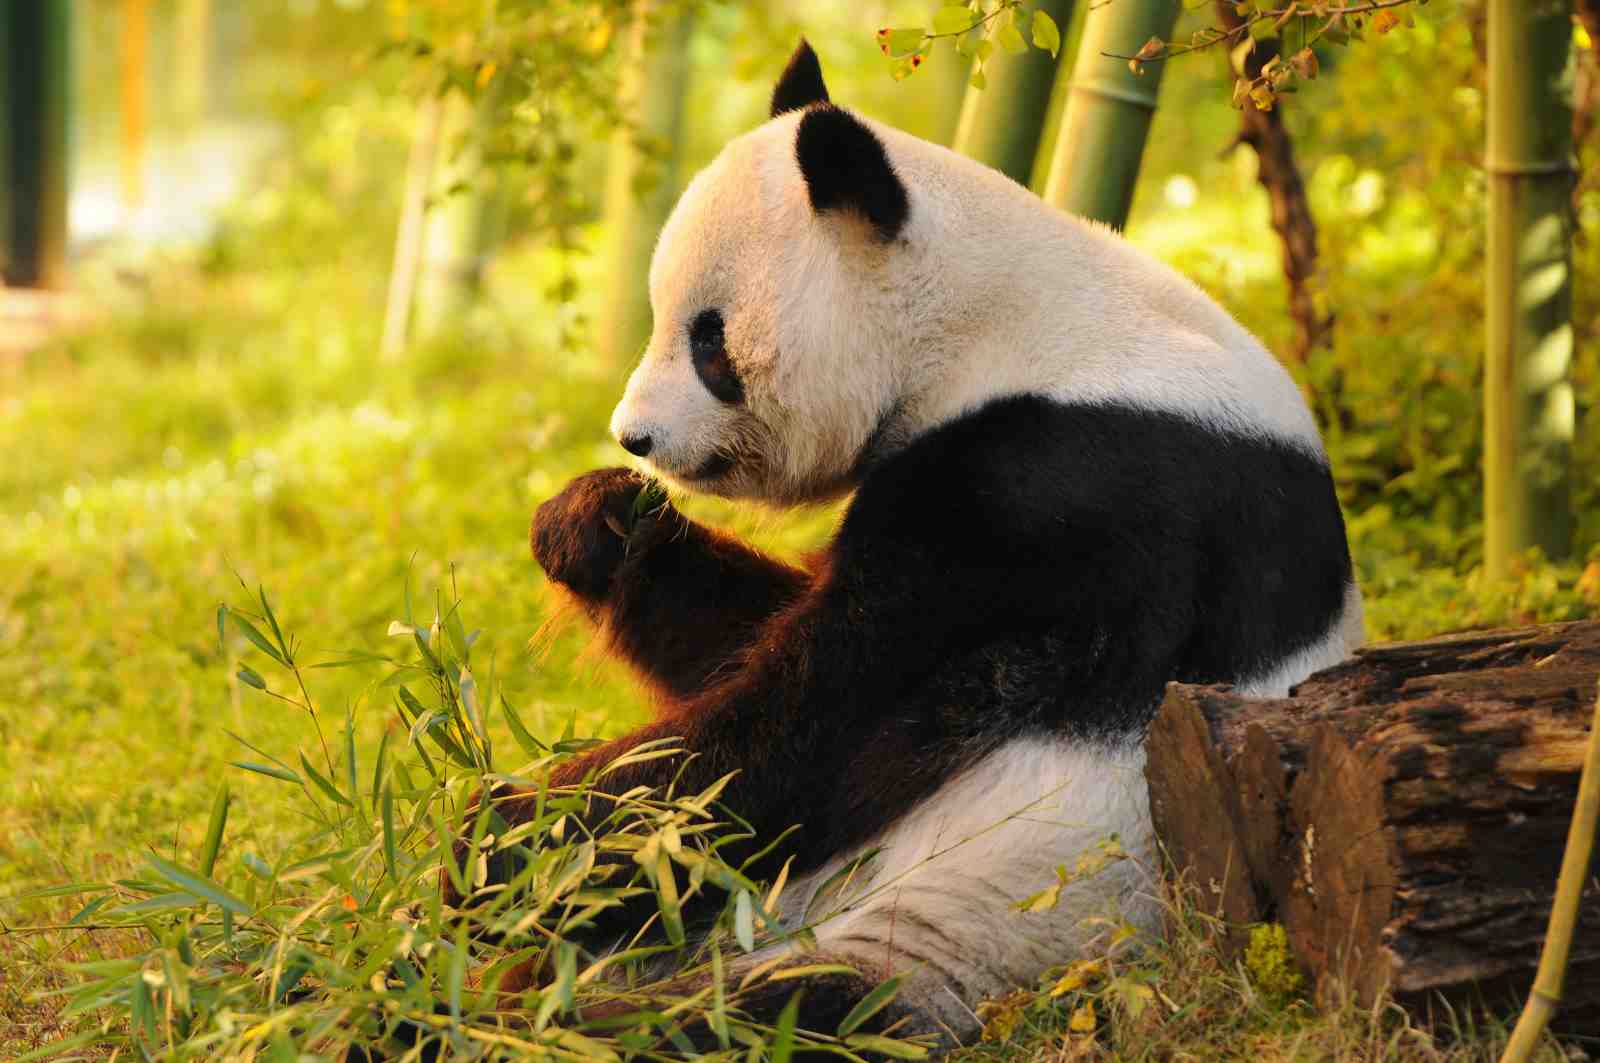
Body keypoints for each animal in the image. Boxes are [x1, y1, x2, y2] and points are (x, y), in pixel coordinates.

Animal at [491, 40, 1362, 1046]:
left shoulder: (1059, 485)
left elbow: (821, 722)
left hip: (993, 916)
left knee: (759, 1012)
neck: (994, 317)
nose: (634, 436)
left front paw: (499, 837)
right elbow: (751, 644)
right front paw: (592, 524)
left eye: (710, 344)